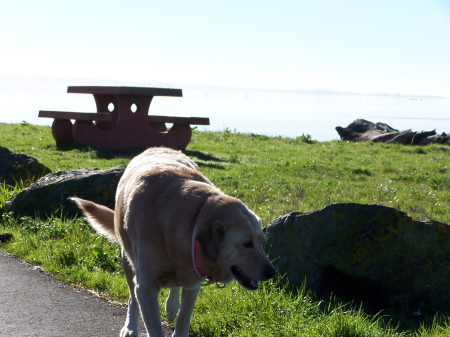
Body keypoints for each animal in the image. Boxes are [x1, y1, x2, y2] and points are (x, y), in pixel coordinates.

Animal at [71, 147, 274, 336]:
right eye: (247, 243)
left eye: (261, 241)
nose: (272, 272)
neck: (193, 220)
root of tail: (157, 147)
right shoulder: (146, 287)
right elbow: (152, 323)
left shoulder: (193, 282)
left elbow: (184, 319)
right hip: (127, 262)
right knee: (132, 298)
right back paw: (130, 327)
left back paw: (171, 306)